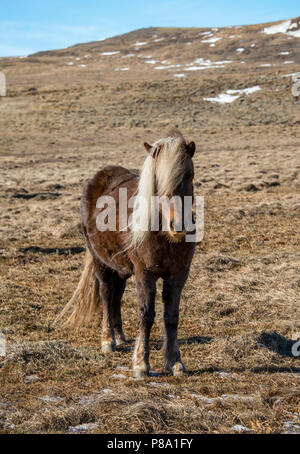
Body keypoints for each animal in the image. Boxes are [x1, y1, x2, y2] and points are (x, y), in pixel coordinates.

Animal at [57, 127, 196, 376]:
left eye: (189, 175)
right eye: (157, 181)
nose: (177, 225)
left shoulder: (178, 275)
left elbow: (172, 317)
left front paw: (175, 362)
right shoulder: (144, 274)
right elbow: (146, 315)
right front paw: (141, 364)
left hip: (119, 266)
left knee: (117, 295)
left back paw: (120, 335)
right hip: (100, 262)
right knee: (106, 293)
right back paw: (108, 340)